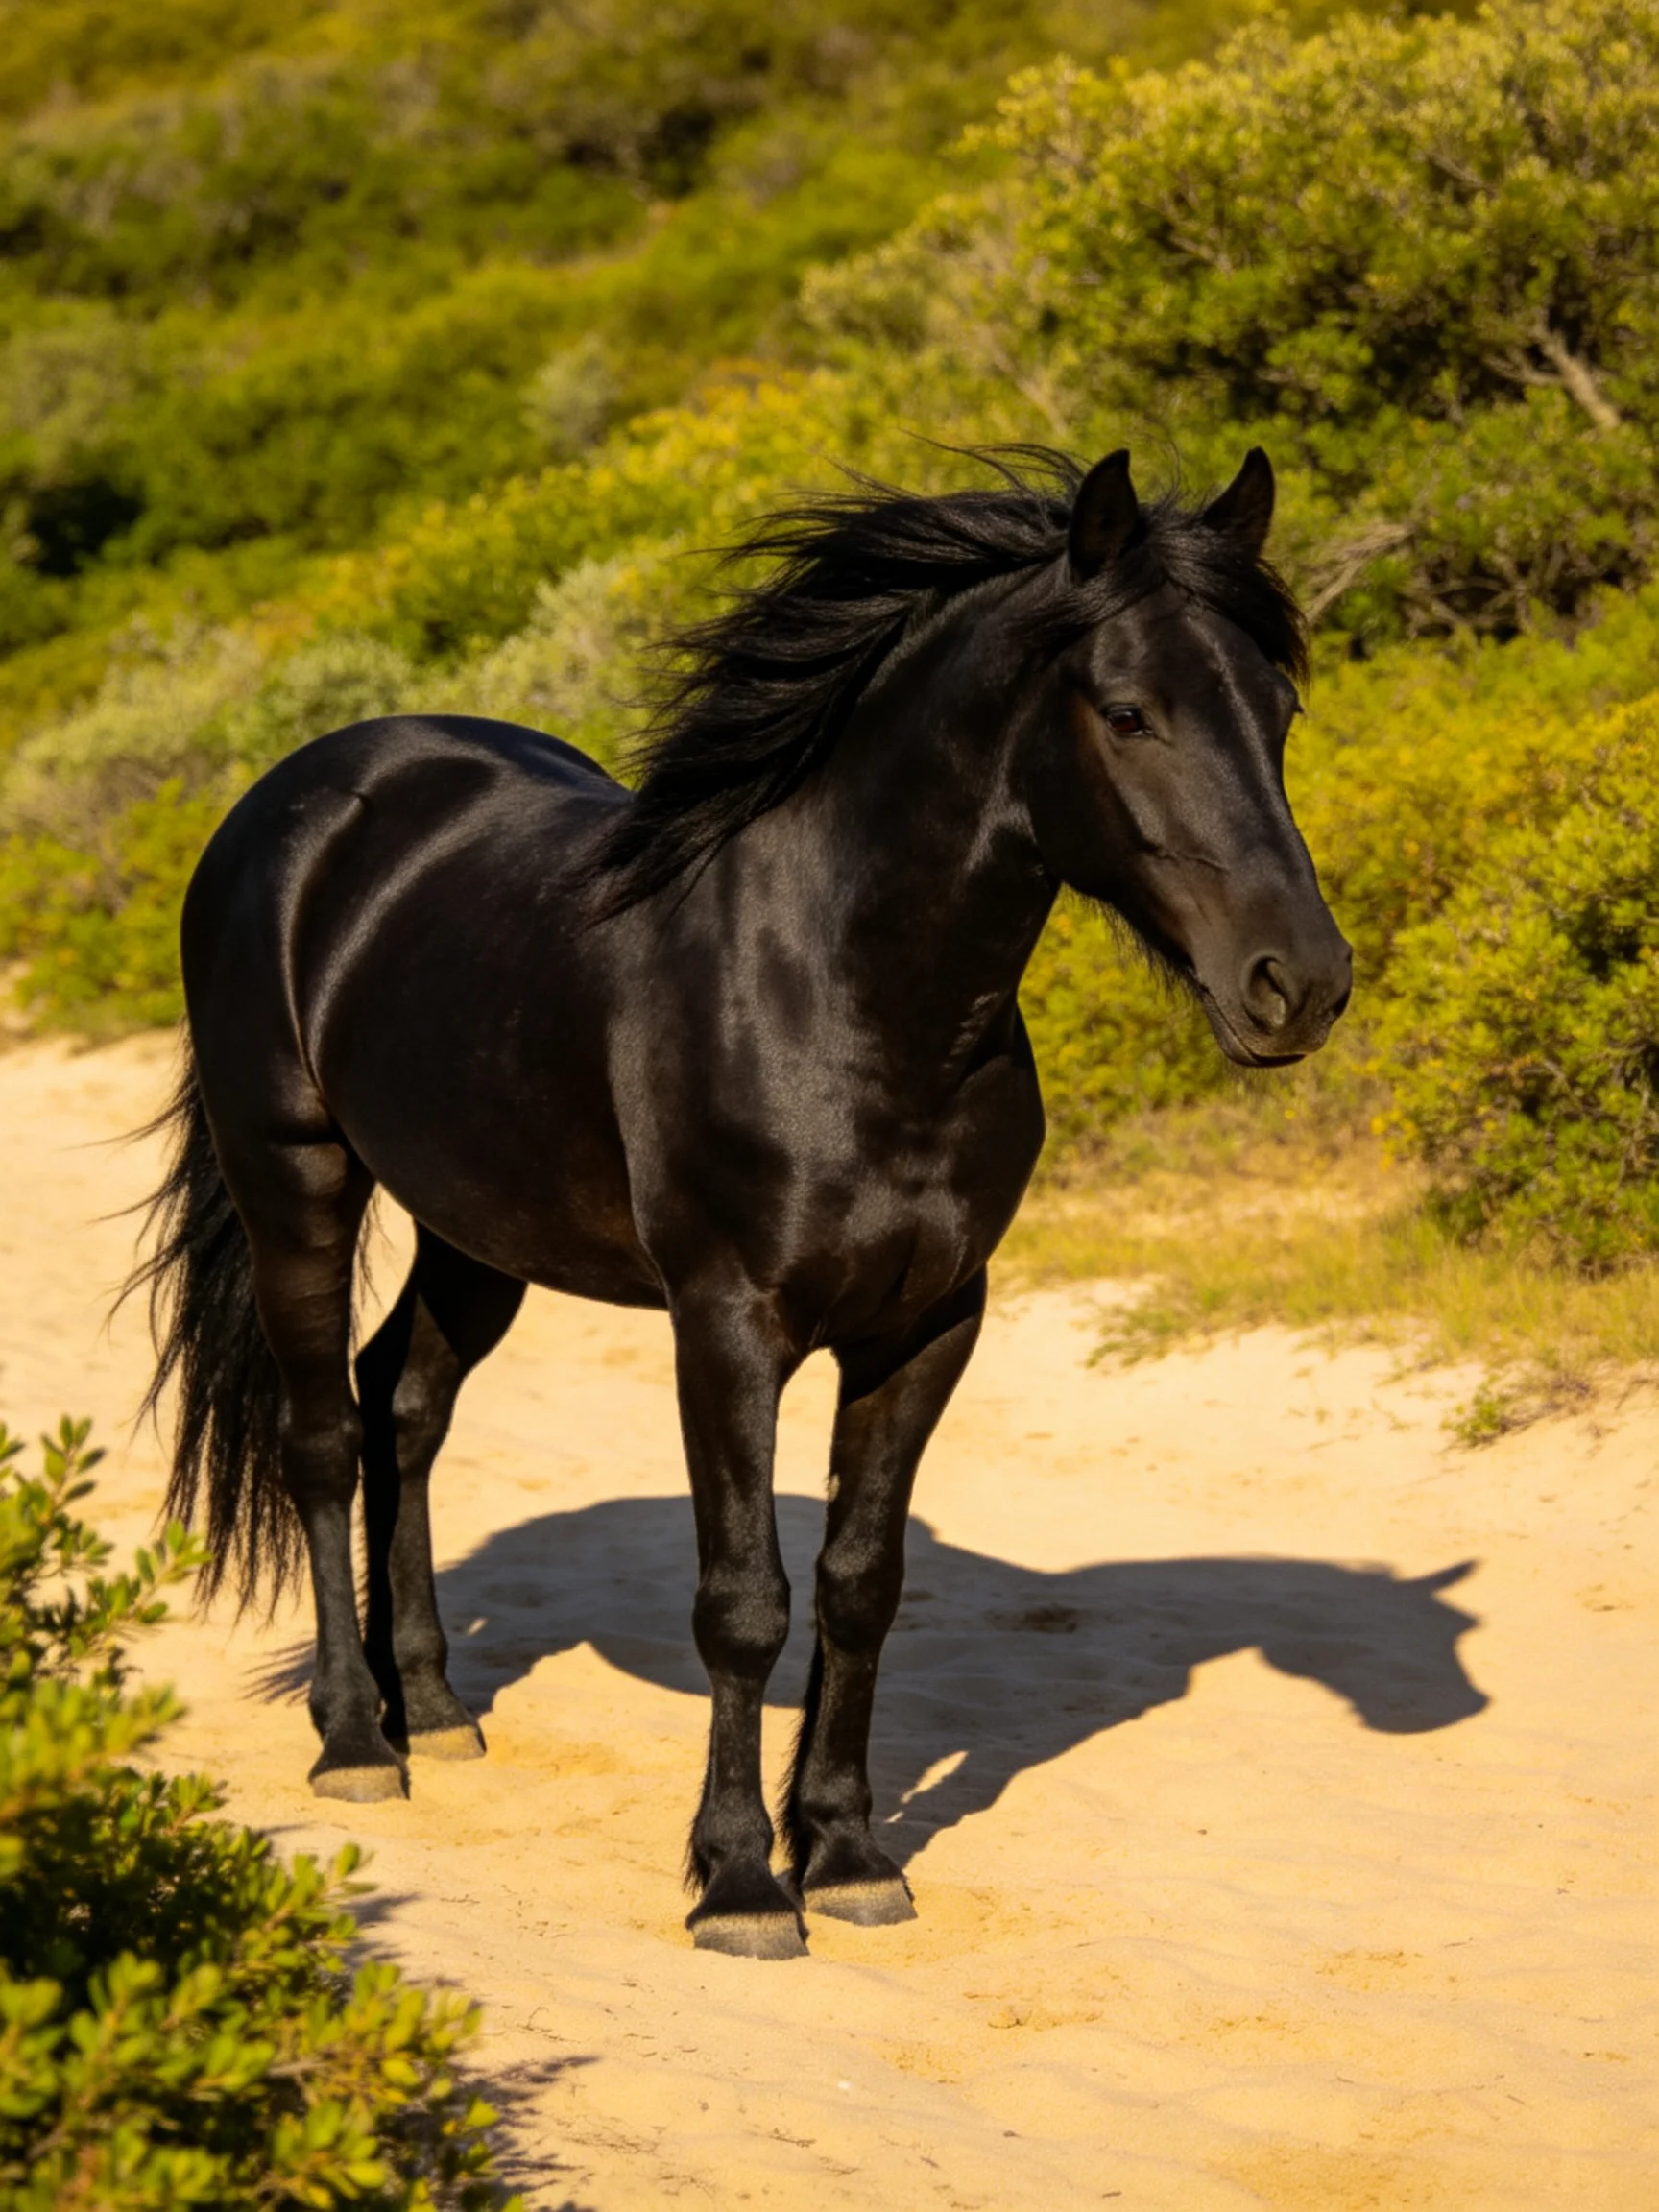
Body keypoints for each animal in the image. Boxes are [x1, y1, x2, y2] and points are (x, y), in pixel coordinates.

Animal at [134, 445, 1352, 1959]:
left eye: (1279, 710)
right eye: (1127, 711)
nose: (1299, 984)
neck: (845, 995)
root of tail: (296, 799)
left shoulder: (928, 1328)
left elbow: (860, 1586)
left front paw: (847, 1852)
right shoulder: (725, 1328)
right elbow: (745, 1604)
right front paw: (740, 1881)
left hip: (478, 1228)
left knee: (400, 1409)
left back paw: (440, 1710)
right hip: (294, 1176)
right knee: (318, 1437)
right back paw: (359, 1740)